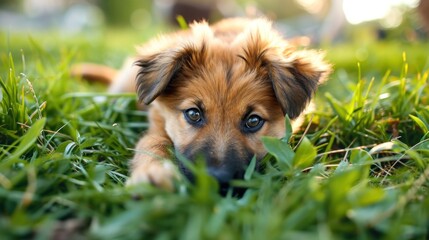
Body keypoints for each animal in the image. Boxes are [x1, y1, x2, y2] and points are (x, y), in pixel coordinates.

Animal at [72, 17, 330, 190]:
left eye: (253, 121)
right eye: (193, 114)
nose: (216, 179)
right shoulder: (158, 122)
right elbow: (153, 143)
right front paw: (153, 174)